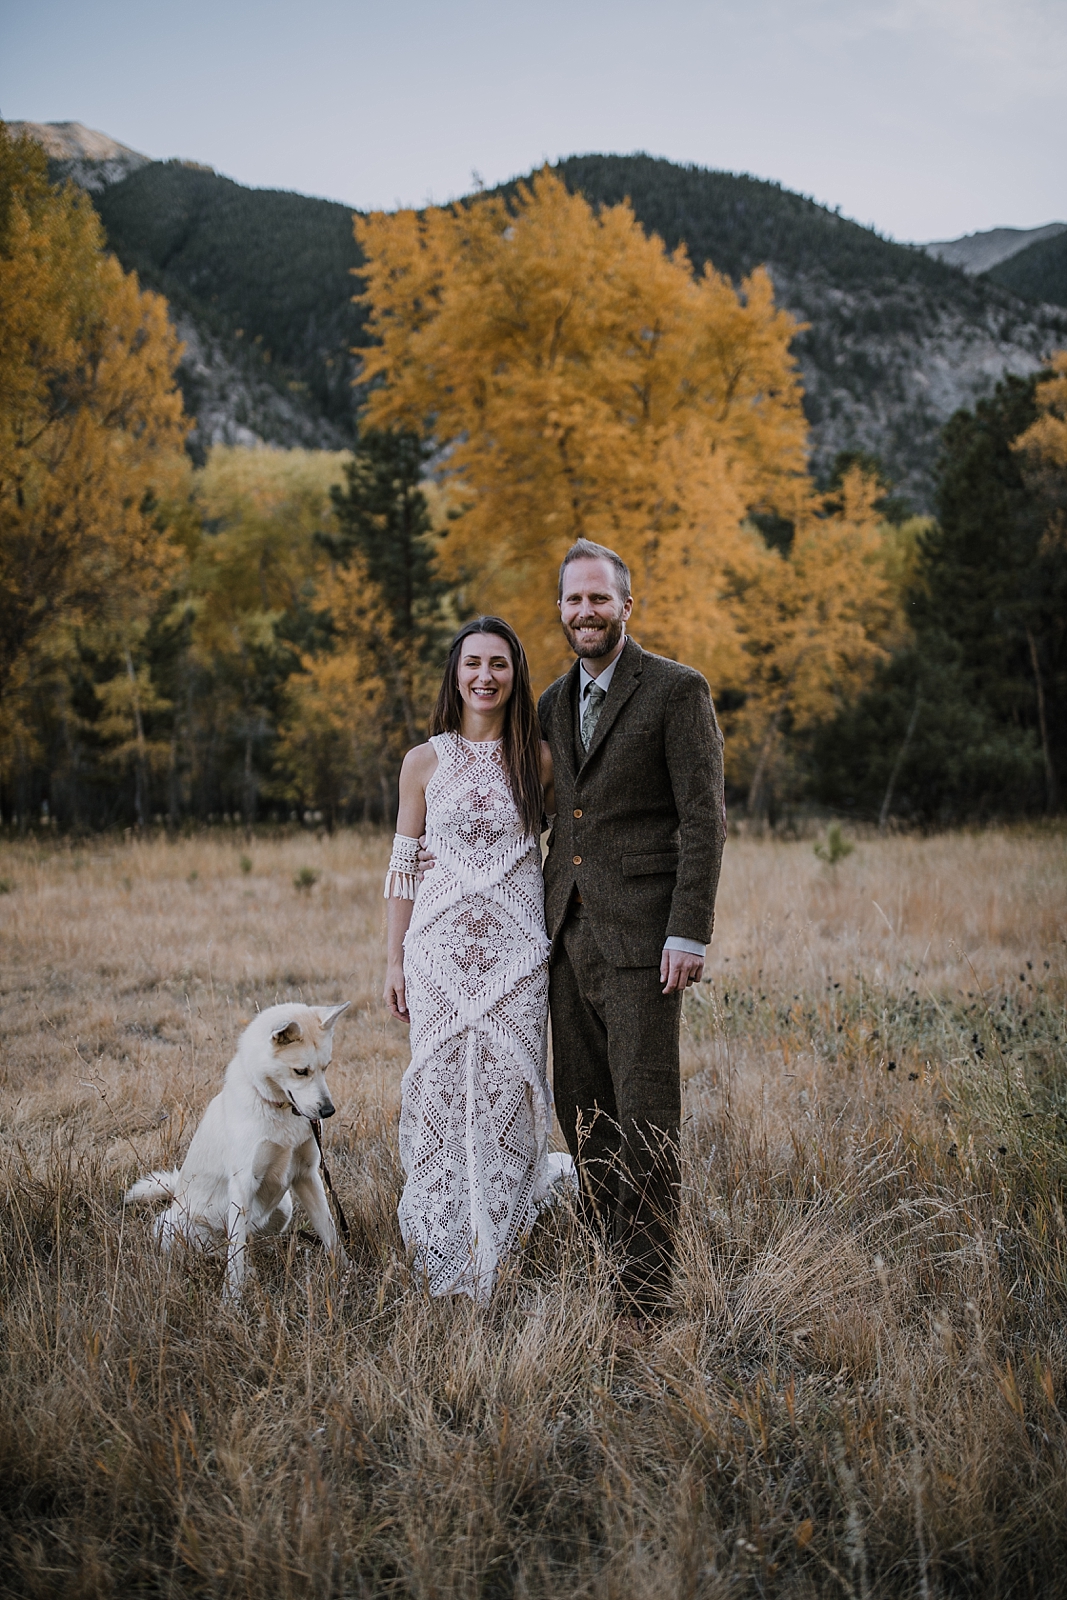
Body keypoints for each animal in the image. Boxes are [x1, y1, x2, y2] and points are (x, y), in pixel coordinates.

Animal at [125, 1004, 350, 1292]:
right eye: (301, 1071)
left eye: (326, 1067)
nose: (328, 1111)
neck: (277, 1108)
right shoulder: (243, 1184)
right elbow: (235, 1260)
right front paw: (231, 1298)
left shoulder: (306, 1176)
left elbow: (330, 1232)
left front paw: (347, 1272)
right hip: (172, 1226)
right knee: (218, 1250)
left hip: (283, 1208)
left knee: (249, 1241)